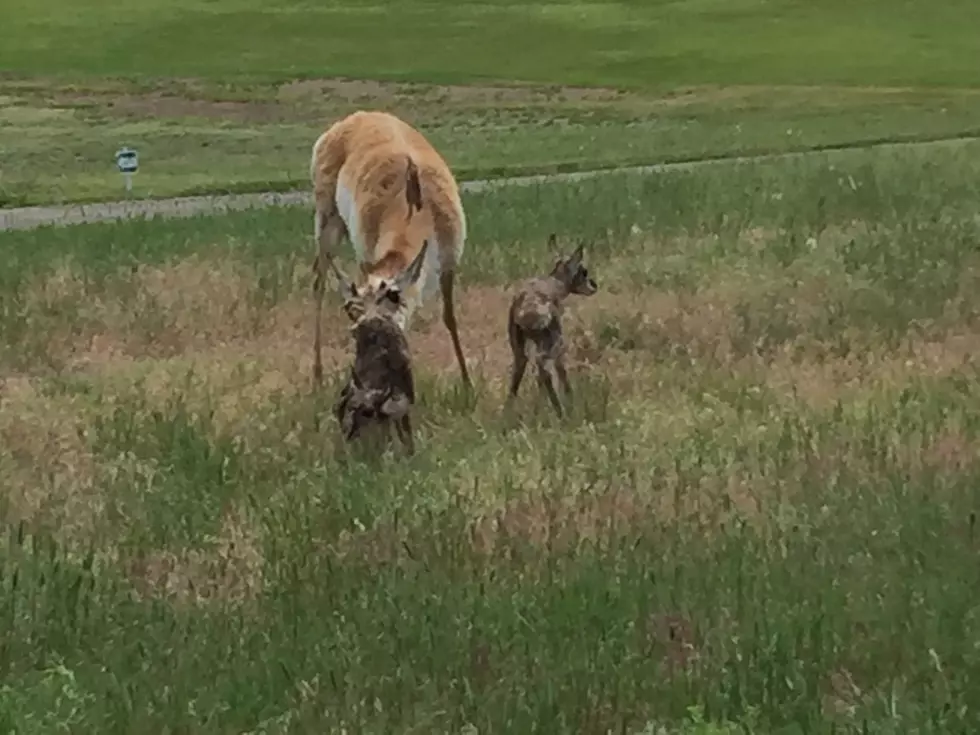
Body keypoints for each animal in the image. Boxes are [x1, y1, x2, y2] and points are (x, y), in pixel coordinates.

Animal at [308, 110, 472, 392]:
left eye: (394, 296)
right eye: (353, 307)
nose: (367, 329)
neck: (416, 209)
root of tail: (355, 117)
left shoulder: (449, 264)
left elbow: (449, 317)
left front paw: (467, 382)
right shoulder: (366, 259)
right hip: (327, 220)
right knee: (319, 279)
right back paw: (317, 374)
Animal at [506, 236, 596, 420]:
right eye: (584, 271)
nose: (594, 286)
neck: (555, 284)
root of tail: (528, 307)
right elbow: (561, 370)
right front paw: (570, 398)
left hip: (519, 350)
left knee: (520, 373)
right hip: (553, 343)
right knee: (544, 369)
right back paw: (560, 411)